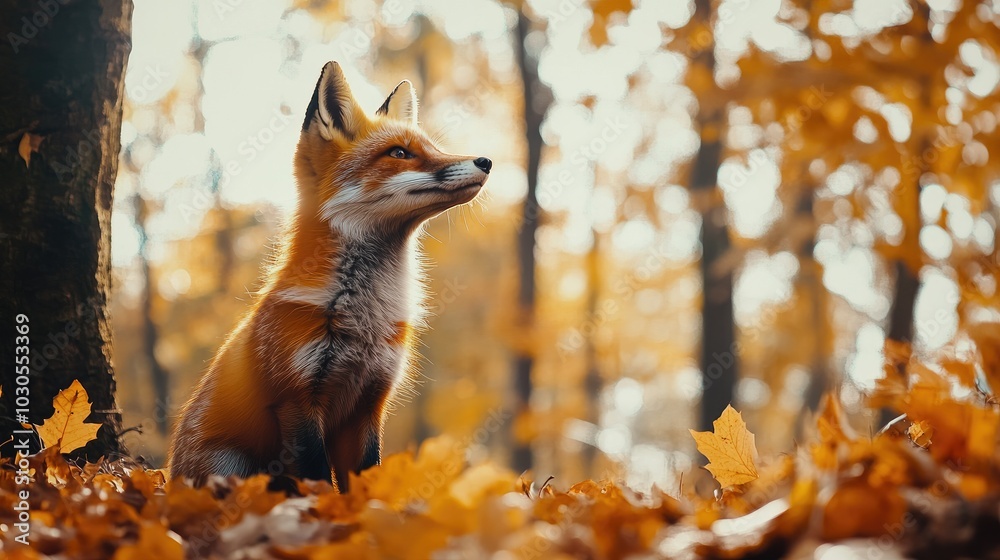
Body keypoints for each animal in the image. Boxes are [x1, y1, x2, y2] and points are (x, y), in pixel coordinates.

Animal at [167, 61, 491, 491]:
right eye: (400, 153)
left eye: (433, 149)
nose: (486, 161)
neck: (366, 319)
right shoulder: (297, 401)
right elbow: (318, 481)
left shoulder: (369, 403)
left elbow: (366, 478)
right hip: (229, 464)